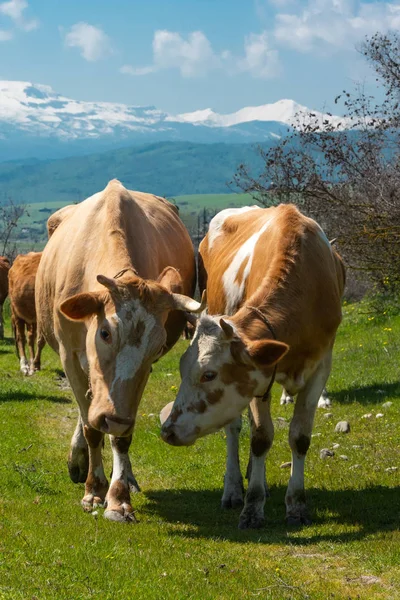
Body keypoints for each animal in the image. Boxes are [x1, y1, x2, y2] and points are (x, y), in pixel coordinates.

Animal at [36, 180, 200, 524]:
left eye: (156, 347)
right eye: (105, 332)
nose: (113, 417)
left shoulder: (135, 384)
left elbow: (120, 436)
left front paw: (118, 496)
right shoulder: (70, 358)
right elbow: (91, 427)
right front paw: (93, 490)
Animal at [161, 205, 346, 528]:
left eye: (209, 374)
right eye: (183, 370)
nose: (167, 430)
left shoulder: (320, 367)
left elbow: (300, 437)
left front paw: (296, 504)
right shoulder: (261, 379)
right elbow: (260, 437)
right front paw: (252, 507)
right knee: (234, 429)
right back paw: (235, 488)